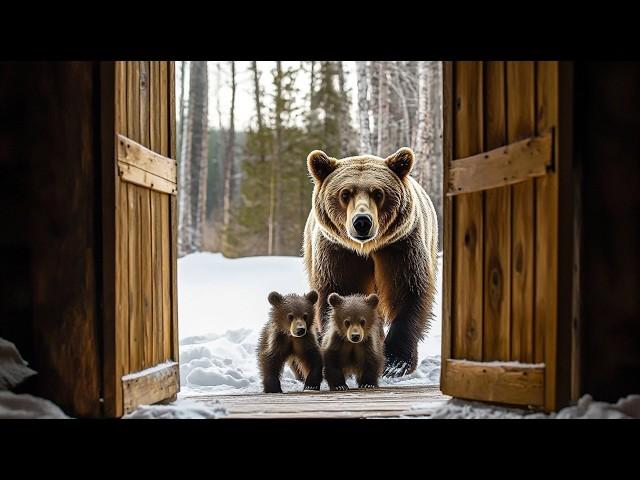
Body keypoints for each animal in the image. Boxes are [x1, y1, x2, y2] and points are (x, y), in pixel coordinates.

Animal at [302, 146, 438, 378]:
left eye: (378, 193)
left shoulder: (399, 247)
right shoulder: (339, 253)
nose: (362, 221)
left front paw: (395, 362)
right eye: (345, 193)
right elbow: (339, 291)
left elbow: (408, 290)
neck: (367, 249)